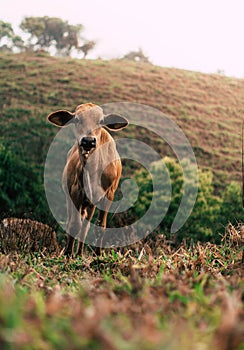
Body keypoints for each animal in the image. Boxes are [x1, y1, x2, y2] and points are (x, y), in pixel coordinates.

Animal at [46, 102, 129, 256]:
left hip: (91, 204)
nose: (88, 141)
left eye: (101, 121)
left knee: (85, 227)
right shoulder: (76, 192)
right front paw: (68, 254)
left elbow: (100, 227)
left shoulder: (108, 195)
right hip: (71, 197)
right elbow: (74, 225)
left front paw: (98, 254)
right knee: (73, 223)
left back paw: (79, 253)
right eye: (77, 120)